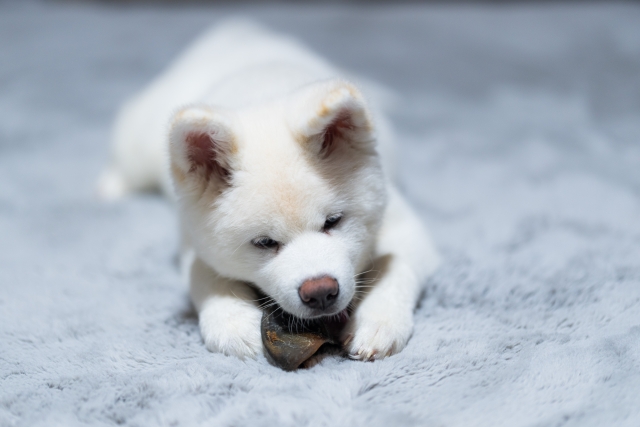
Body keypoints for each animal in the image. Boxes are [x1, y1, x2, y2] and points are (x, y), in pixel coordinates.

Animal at [99, 20, 440, 362]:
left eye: (333, 222)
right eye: (265, 243)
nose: (320, 292)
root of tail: (235, 33)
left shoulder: (401, 223)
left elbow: (396, 269)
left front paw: (380, 320)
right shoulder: (195, 242)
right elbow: (207, 278)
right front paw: (232, 323)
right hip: (140, 145)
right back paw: (110, 187)